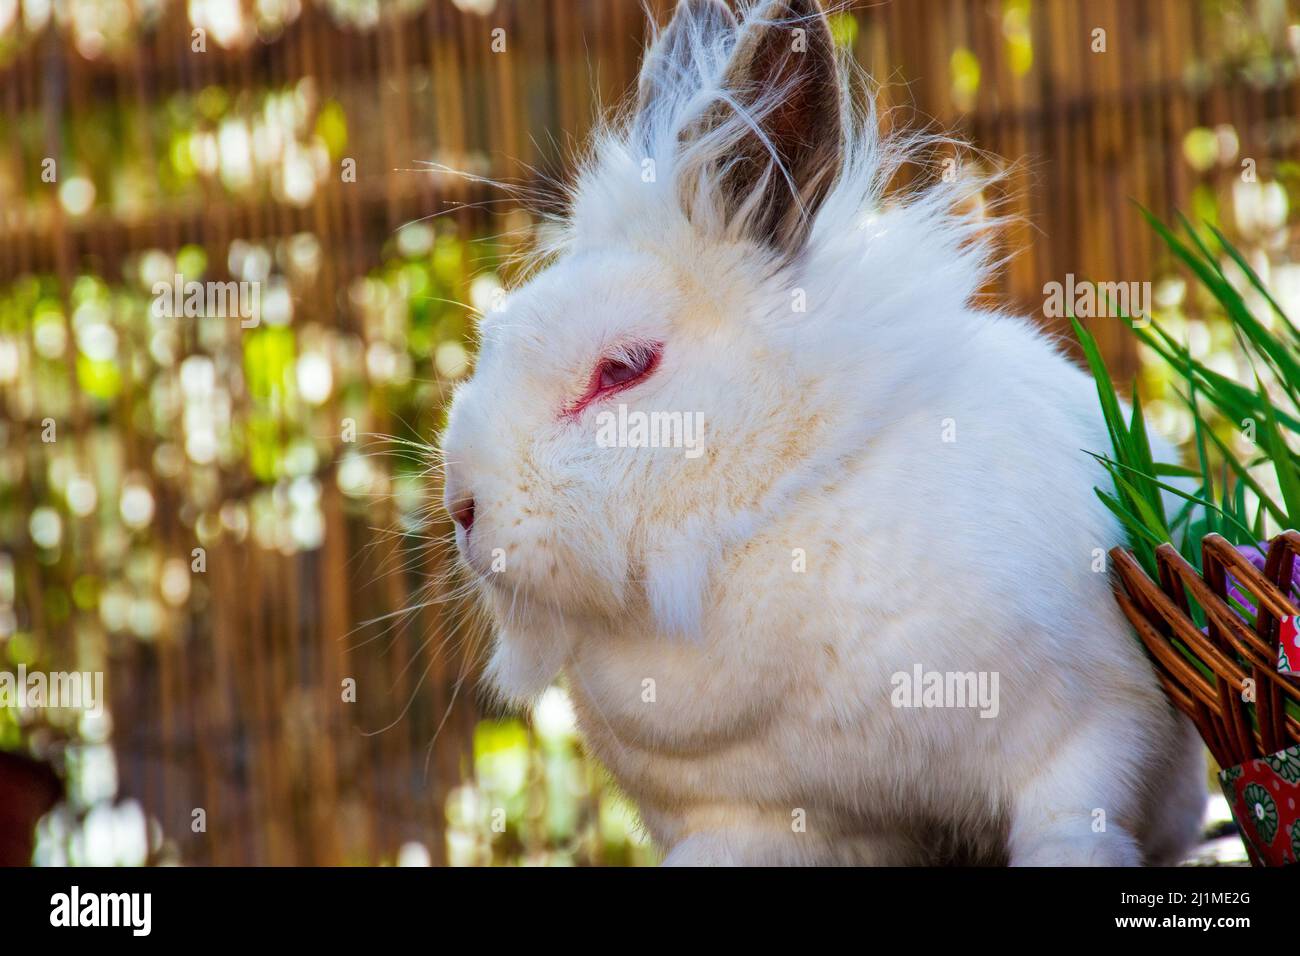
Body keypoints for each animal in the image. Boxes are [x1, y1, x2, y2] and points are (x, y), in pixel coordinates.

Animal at [439, 0, 1206, 865]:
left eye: (624, 369)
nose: (463, 509)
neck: (764, 516)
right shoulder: (739, 820)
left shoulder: (1085, 739)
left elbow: (1072, 824)